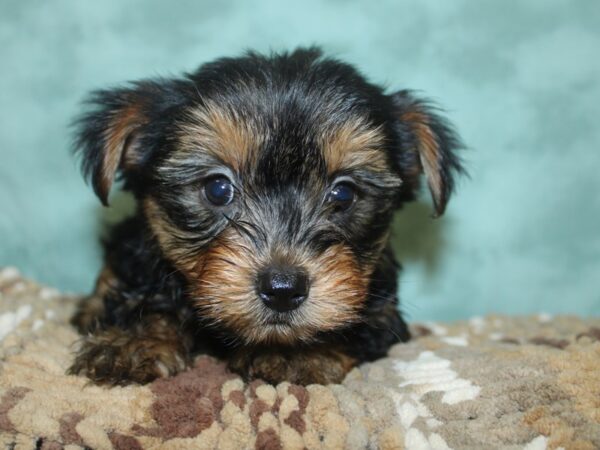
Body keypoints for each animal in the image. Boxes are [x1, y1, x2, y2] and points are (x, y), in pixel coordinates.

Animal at [69, 46, 464, 386]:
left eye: (343, 194)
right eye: (218, 188)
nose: (283, 289)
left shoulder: (383, 313)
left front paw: (297, 351)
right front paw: (134, 340)